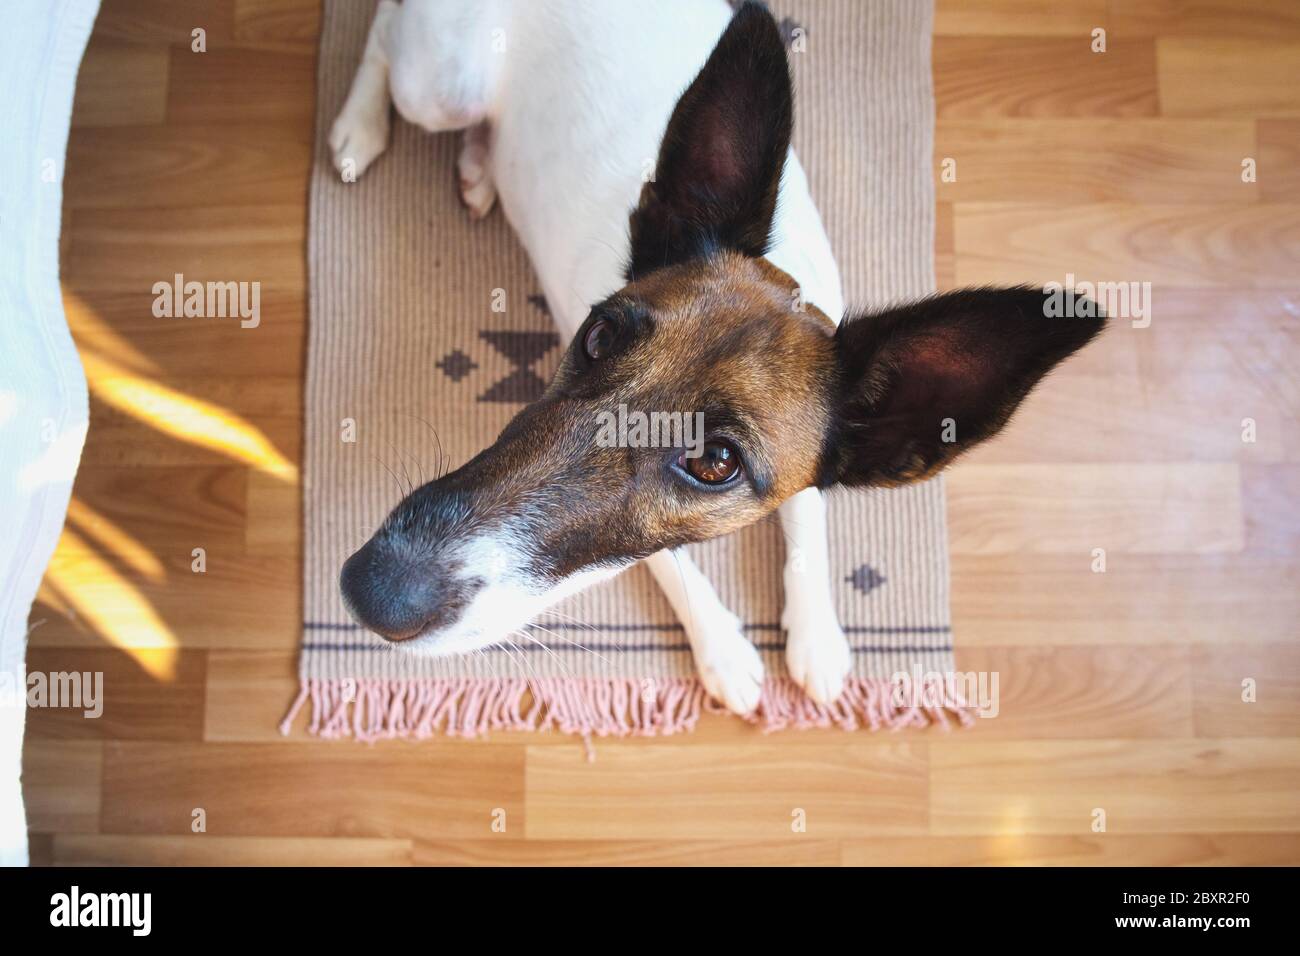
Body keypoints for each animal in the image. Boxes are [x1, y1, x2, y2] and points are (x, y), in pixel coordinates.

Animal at [330, 0, 1102, 717]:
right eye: (599, 336)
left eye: (715, 463)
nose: (371, 588)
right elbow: (672, 564)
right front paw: (724, 649)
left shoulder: (809, 469)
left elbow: (807, 516)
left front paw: (817, 634)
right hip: (440, 83)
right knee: (383, 31)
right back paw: (359, 129)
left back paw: (478, 166)